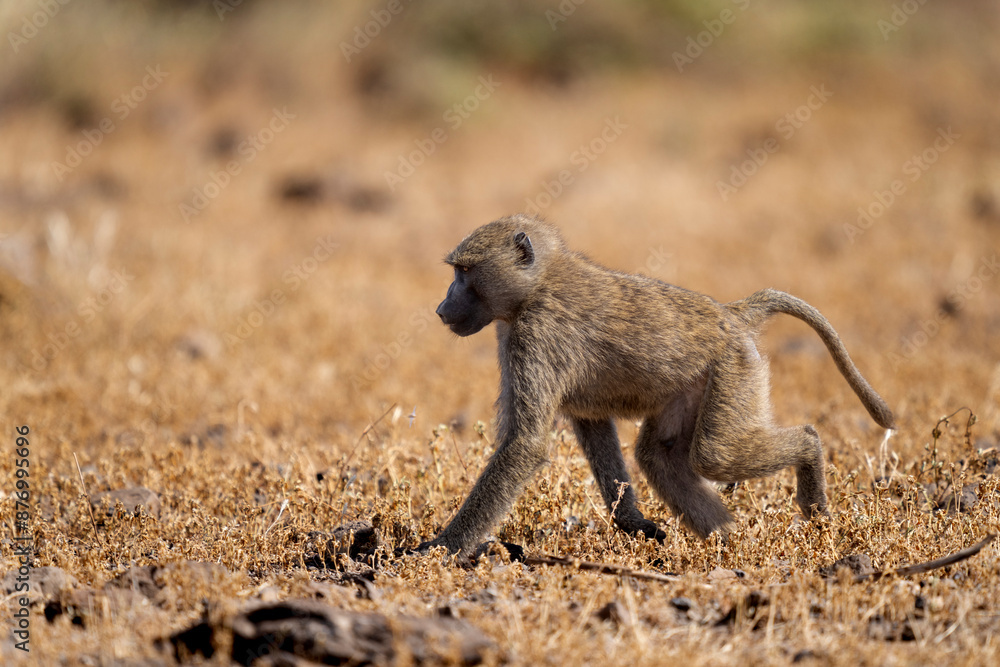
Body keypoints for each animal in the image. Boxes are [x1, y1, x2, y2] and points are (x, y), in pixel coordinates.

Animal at [420, 214, 894, 554]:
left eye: (464, 272)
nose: (442, 308)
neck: (538, 283)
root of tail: (732, 313)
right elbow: (591, 422)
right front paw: (635, 525)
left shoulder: (536, 333)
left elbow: (526, 444)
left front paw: (441, 548)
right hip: (696, 387)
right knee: (660, 456)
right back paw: (725, 544)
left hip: (734, 369)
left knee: (716, 454)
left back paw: (809, 467)